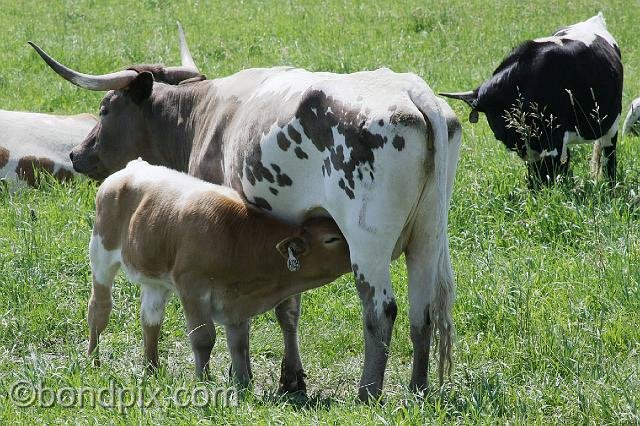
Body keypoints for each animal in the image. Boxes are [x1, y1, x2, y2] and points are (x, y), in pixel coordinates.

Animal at [86, 159, 350, 386]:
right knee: (99, 309)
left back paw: (151, 369)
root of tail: (133, 166)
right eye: (331, 238)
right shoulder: (192, 288)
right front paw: (203, 380)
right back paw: (93, 361)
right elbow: (204, 338)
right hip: (101, 251)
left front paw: (243, 384)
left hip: (155, 280)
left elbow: (239, 344)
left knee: (151, 320)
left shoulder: (237, 303)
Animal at [440, 12, 620, 188]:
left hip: (611, 126)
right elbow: (536, 177)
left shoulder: (551, 142)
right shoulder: (533, 149)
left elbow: (548, 176)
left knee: (609, 159)